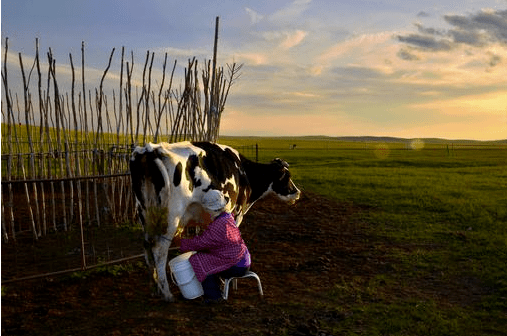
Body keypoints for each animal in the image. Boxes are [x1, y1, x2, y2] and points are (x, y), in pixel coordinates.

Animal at [129, 140, 302, 300]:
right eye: (287, 177)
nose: (298, 193)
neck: (245, 173)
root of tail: (150, 149)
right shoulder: (236, 213)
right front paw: (229, 280)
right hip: (171, 218)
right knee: (159, 249)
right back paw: (166, 293)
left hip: (145, 215)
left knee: (147, 247)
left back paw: (154, 287)